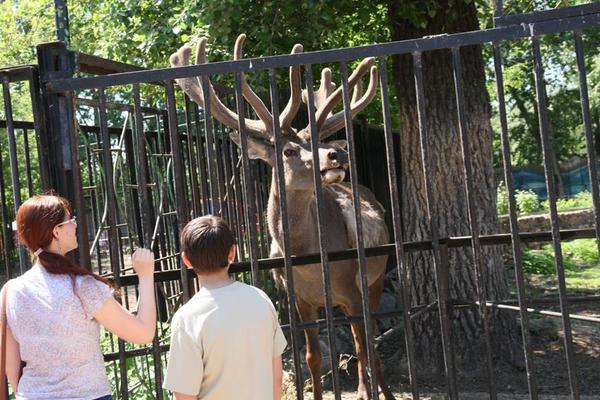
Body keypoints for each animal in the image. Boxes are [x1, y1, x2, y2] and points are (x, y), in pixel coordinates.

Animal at [169, 34, 396, 400]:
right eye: (288, 151)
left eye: (318, 143)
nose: (338, 154)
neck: (308, 262)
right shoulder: (299, 298)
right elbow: (312, 357)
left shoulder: (352, 286)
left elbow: (364, 346)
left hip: (376, 276)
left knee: (368, 337)